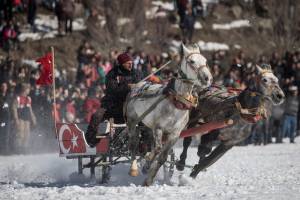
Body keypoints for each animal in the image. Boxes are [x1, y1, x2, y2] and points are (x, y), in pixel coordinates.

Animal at [124, 43, 213, 185]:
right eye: (192, 61)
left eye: (205, 61)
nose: (207, 78)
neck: (177, 103)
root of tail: (137, 86)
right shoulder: (159, 128)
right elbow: (158, 149)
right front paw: (147, 163)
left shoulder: (174, 134)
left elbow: (163, 157)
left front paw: (149, 178)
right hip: (133, 122)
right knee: (133, 144)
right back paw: (134, 168)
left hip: (147, 125)